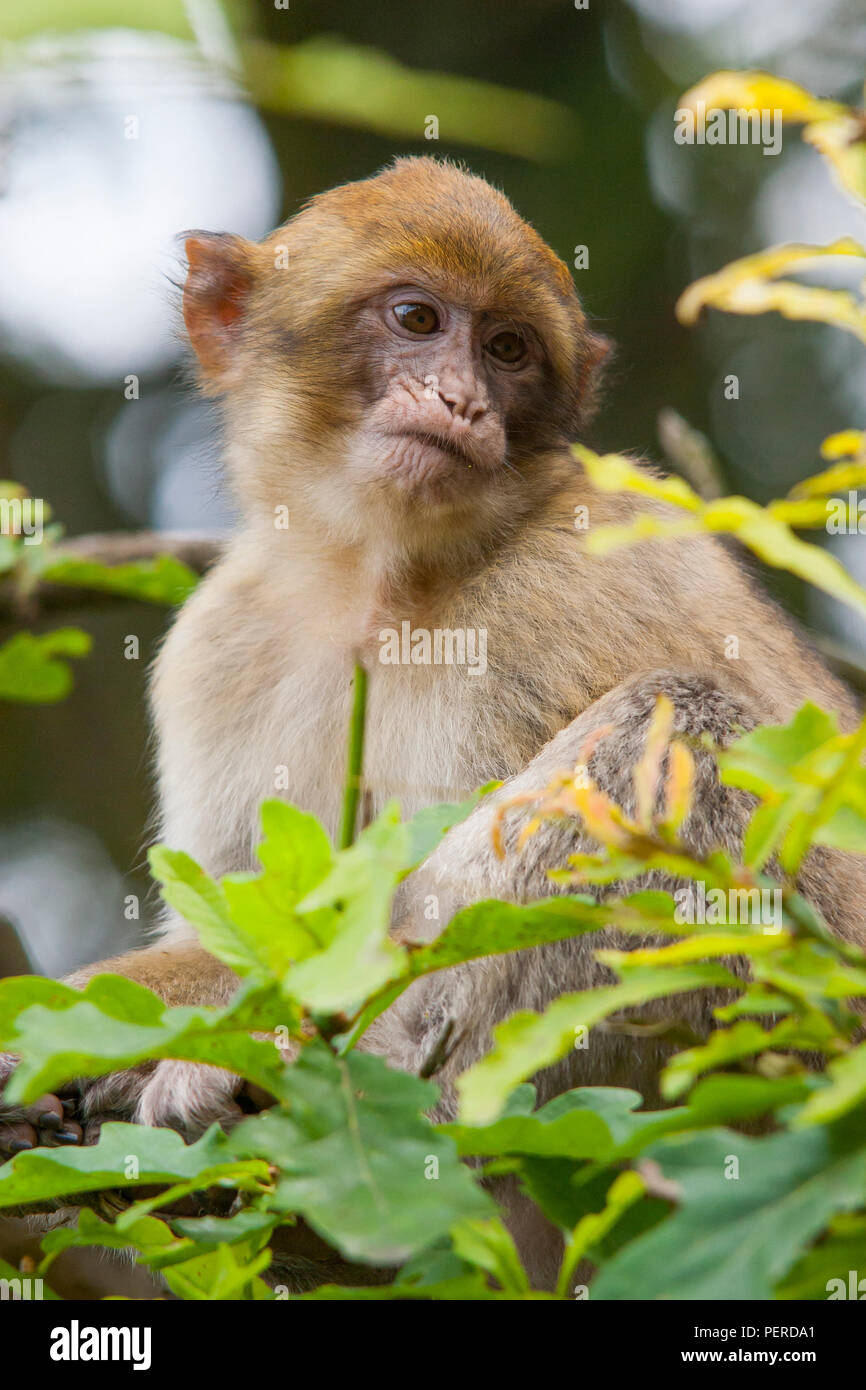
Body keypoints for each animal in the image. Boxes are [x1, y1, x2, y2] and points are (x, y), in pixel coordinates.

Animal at [1, 154, 866, 1289]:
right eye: (416, 318)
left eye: (506, 349)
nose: (459, 399)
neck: (378, 579)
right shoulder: (218, 643)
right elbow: (254, 927)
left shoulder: (553, 597)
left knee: (675, 717)